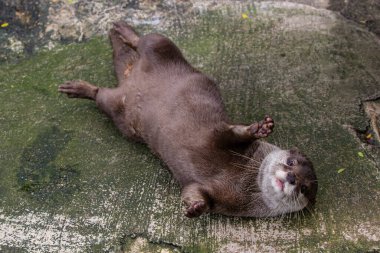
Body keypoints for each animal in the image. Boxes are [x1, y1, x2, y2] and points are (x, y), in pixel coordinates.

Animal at [58, 22, 316, 217]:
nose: (292, 177)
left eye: (304, 187)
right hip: (161, 46)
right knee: (147, 40)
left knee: (101, 95)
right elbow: (229, 133)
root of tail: (129, 80)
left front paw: (195, 207)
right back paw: (123, 30)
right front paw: (260, 128)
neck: (241, 178)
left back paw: (81, 88)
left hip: (119, 112)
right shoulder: (218, 137)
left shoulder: (215, 194)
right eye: (291, 162)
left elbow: (195, 193)